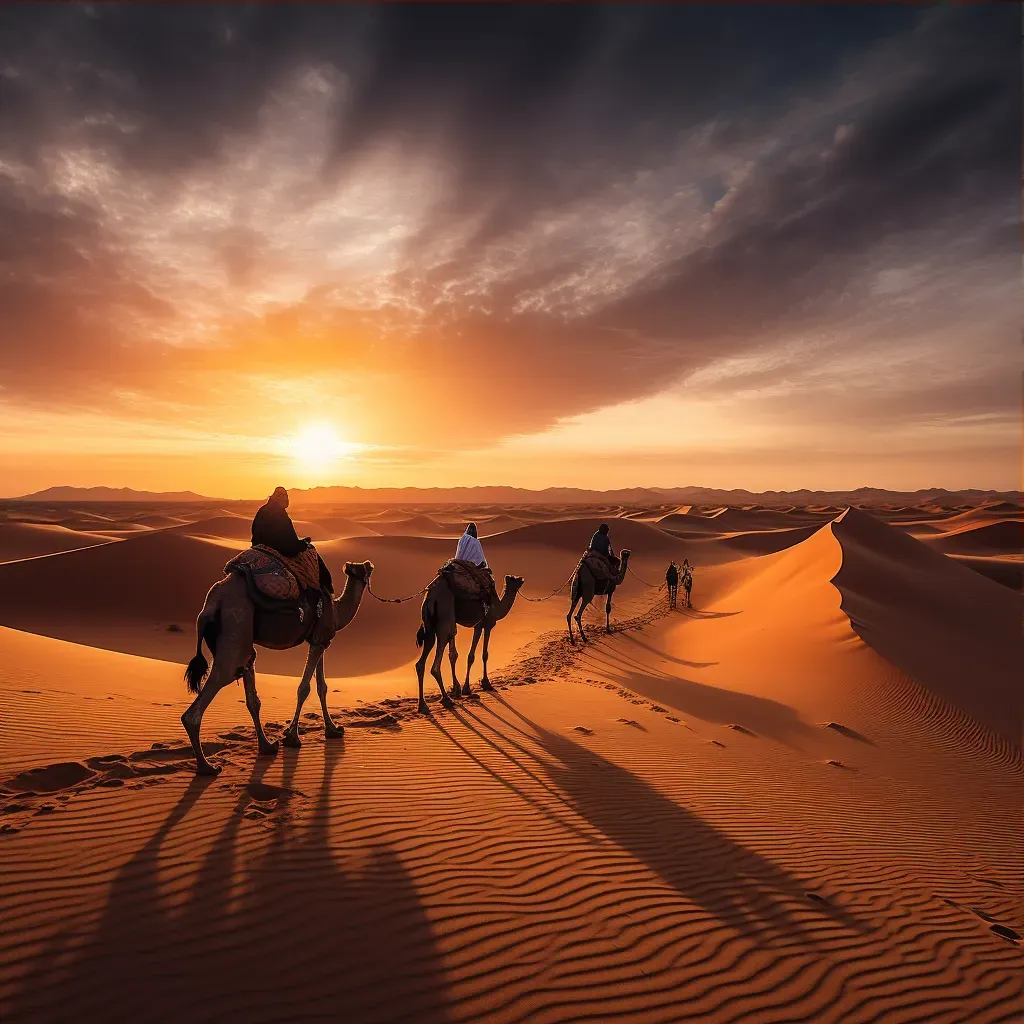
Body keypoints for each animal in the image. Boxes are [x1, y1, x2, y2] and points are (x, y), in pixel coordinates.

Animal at [182, 561, 374, 774]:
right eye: (366, 568)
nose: (368, 564)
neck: (337, 611)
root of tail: (212, 602)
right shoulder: (319, 640)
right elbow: (304, 688)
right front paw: (292, 737)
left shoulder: (320, 640)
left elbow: (321, 687)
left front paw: (333, 730)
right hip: (236, 625)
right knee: (218, 681)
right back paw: (207, 767)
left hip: (240, 637)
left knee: (250, 682)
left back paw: (266, 747)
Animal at [417, 573, 528, 716]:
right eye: (514, 579)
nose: (521, 579)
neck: (497, 607)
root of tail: (430, 597)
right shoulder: (484, 625)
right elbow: (479, 655)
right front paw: (482, 684)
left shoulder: (478, 625)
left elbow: (454, 655)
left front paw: (458, 689)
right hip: (444, 620)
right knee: (437, 661)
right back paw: (446, 699)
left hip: (431, 624)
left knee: (422, 660)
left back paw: (423, 705)